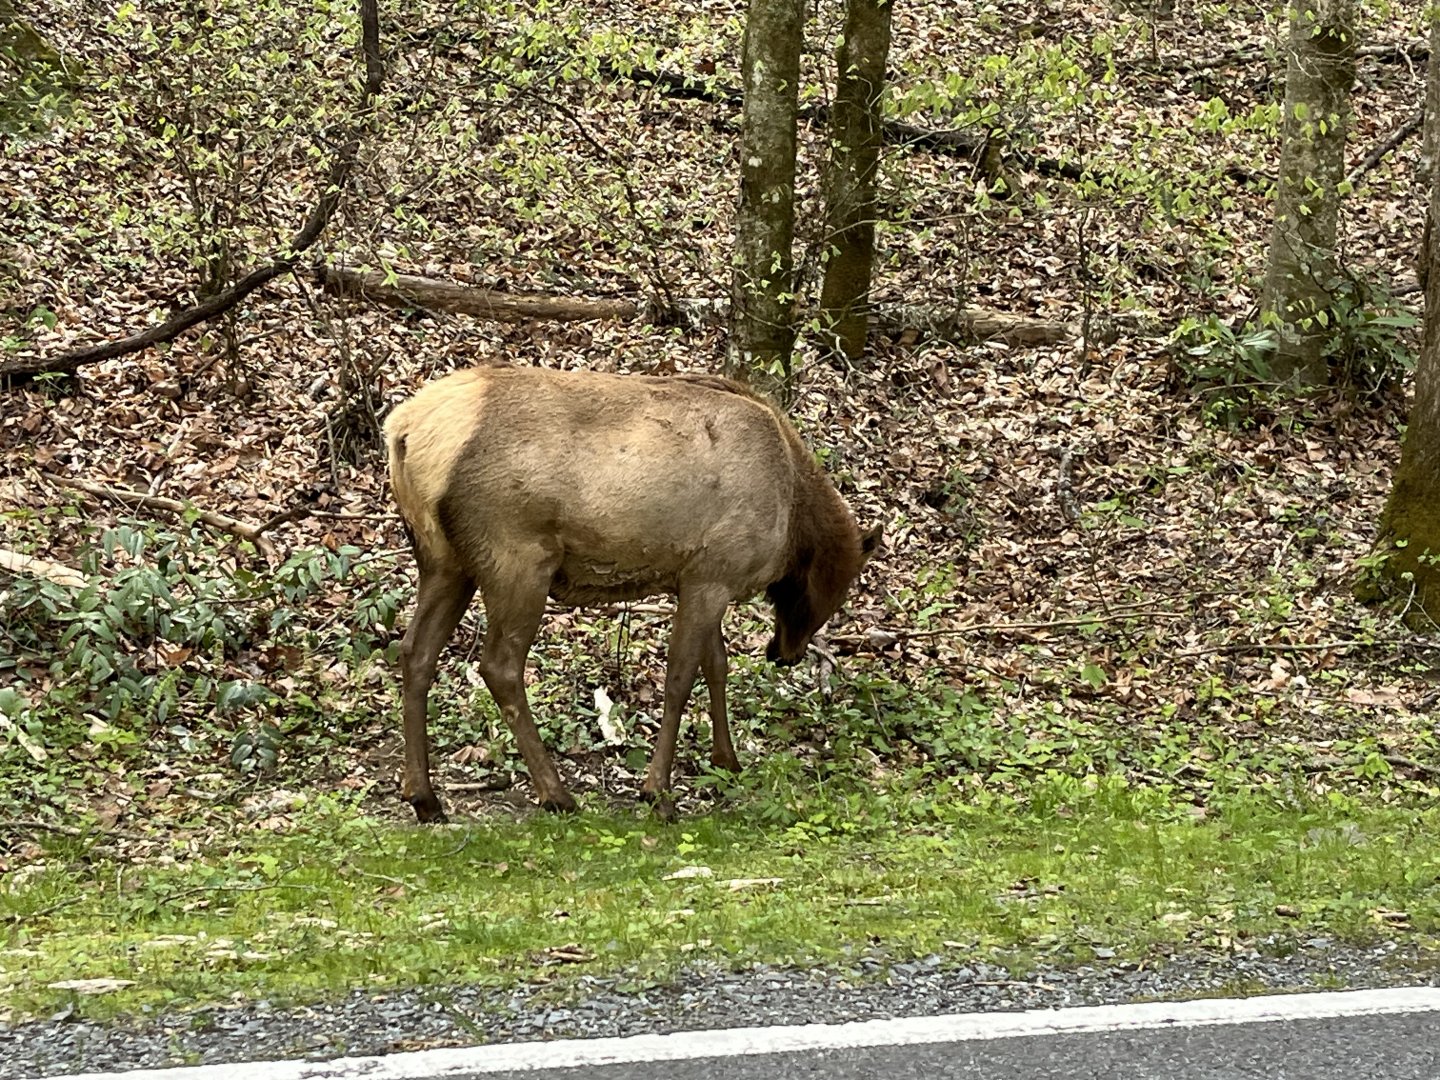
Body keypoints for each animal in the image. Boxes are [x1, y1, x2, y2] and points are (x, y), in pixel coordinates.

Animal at [384, 365, 881, 821]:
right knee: (499, 666)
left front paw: (727, 760)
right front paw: (657, 791)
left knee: (415, 652)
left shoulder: (701, 577)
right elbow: (680, 678)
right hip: (516, 558)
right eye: (836, 591)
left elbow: (716, 666)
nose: (784, 654)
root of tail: (401, 431)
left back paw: (424, 797)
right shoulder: (713, 574)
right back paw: (556, 794)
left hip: (444, 561)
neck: (793, 521)